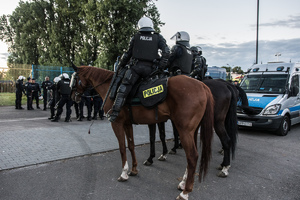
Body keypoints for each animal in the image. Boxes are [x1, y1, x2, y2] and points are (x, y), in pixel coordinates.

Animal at [71, 65, 214, 199]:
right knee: (192, 157)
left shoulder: (116, 123)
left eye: (74, 79)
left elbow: (122, 148)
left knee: (192, 156)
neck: (112, 87)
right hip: (192, 131)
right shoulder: (127, 123)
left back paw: (185, 192)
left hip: (184, 131)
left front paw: (124, 173)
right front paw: (134, 169)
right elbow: (131, 146)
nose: (73, 97)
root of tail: (202, 85)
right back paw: (184, 183)